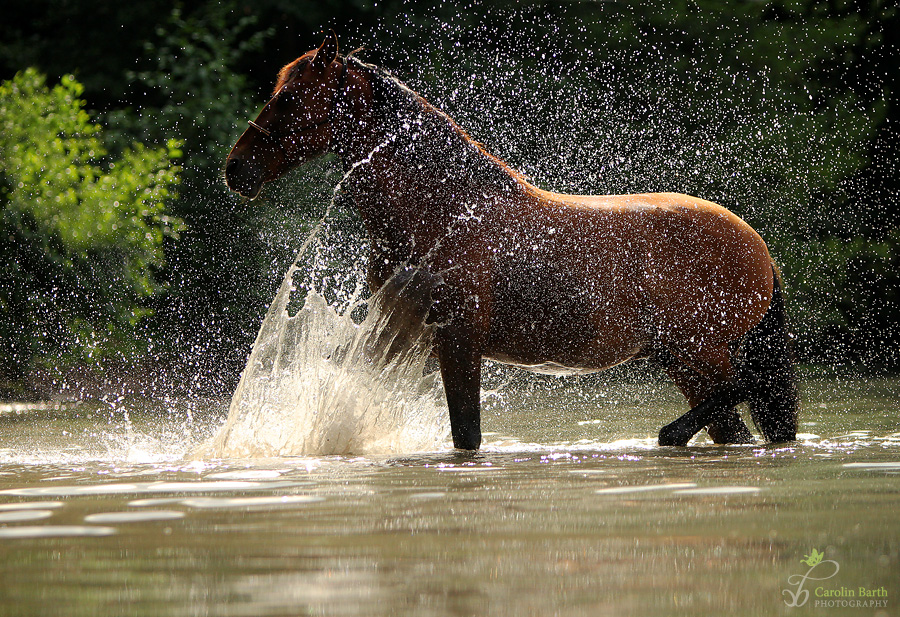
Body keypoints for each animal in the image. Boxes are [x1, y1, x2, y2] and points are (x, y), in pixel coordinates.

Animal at [223, 32, 796, 448]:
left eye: (290, 98)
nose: (236, 168)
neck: (445, 211)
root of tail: (760, 250)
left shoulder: (457, 341)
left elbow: (467, 436)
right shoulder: (399, 336)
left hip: (702, 354)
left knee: (737, 397)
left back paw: (668, 434)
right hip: (687, 360)